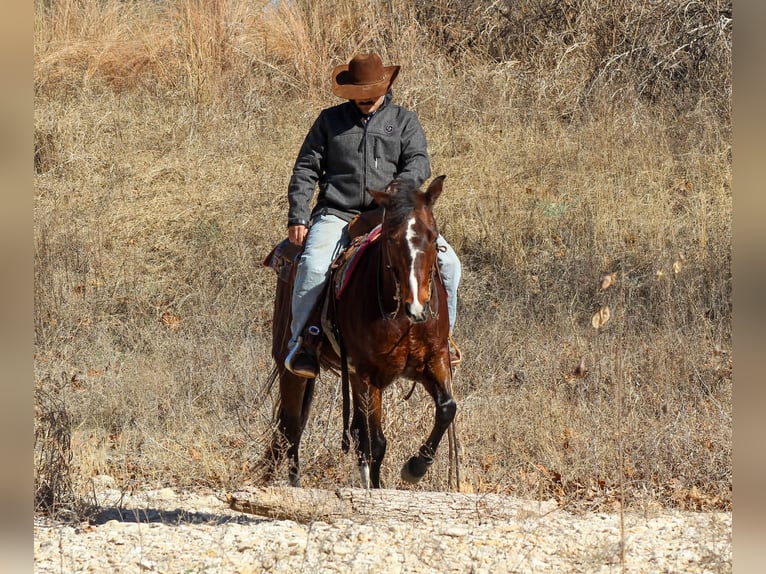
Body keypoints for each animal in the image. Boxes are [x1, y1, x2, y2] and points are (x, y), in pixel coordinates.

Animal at [261, 176, 456, 489]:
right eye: (391, 238)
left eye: (433, 235)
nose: (417, 307)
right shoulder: (367, 375)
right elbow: (376, 443)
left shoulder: (433, 361)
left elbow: (447, 408)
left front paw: (416, 467)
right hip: (290, 366)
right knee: (290, 429)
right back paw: (293, 484)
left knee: (347, 433)